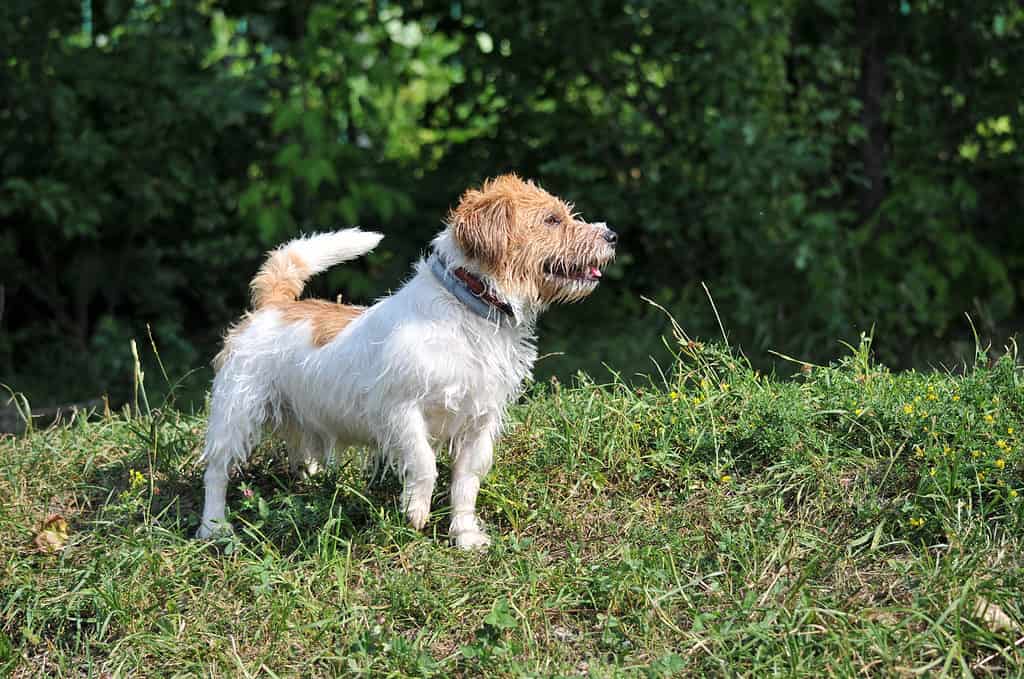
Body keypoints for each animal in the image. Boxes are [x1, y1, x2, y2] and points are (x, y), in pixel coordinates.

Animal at [198, 174, 614, 548]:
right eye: (552, 220)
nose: (611, 236)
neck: (467, 309)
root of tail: (274, 305)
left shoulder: (479, 422)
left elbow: (466, 482)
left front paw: (465, 535)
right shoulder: (400, 411)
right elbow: (425, 462)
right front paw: (416, 511)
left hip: (300, 416)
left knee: (301, 452)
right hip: (237, 411)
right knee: (217, 471)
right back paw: (214, 527)